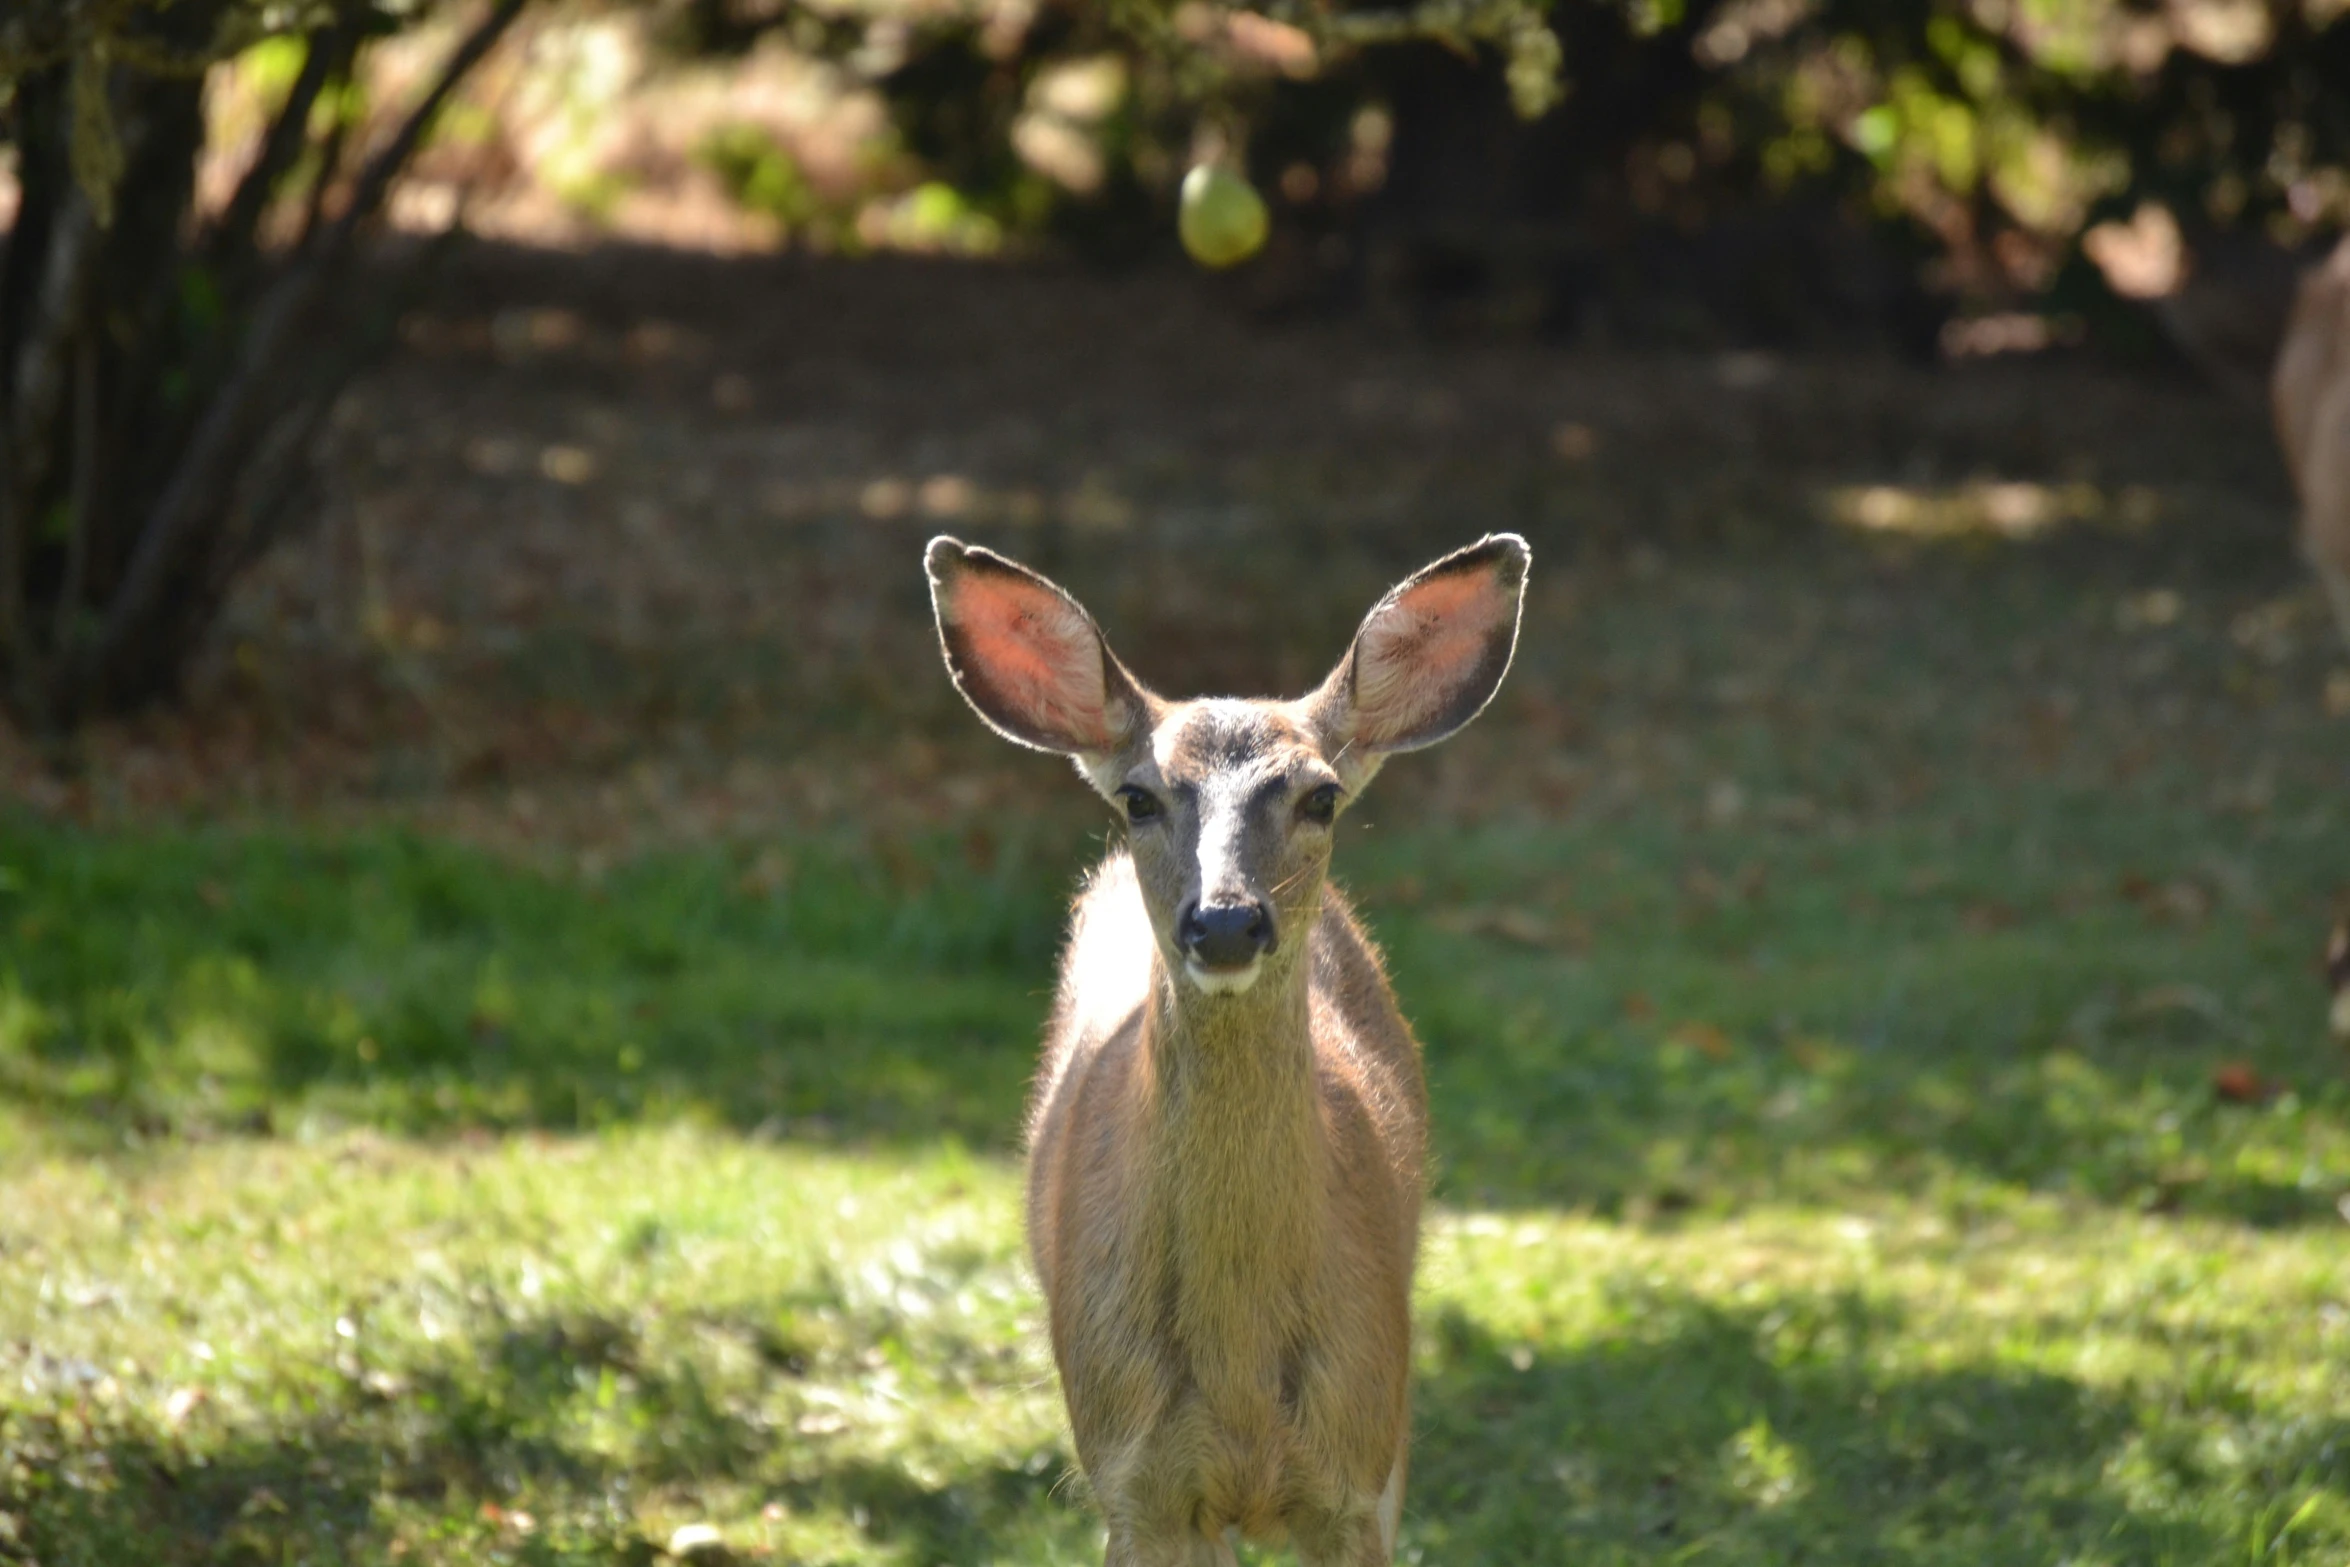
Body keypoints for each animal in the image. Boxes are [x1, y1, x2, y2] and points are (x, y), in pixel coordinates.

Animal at [925, 533, 1532, 1559]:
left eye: (1321, 795)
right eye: (1139, 795)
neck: (1241, 1365)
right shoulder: (1135, 1478)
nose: (1225, 923)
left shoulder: (1359, 1464)